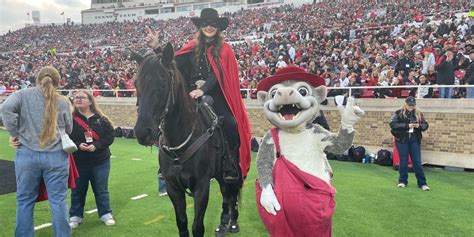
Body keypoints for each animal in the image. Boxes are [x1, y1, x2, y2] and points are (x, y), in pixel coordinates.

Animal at [133, 43, 244, 236]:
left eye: (163, 84)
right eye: (136, 84)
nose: (142, 132)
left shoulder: (201, 187)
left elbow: (197, 227)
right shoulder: (173, 188)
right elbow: (182, 224)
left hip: (230, 168)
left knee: (231, 191)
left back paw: (232, 222)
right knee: (226, 193)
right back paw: (223, 223)